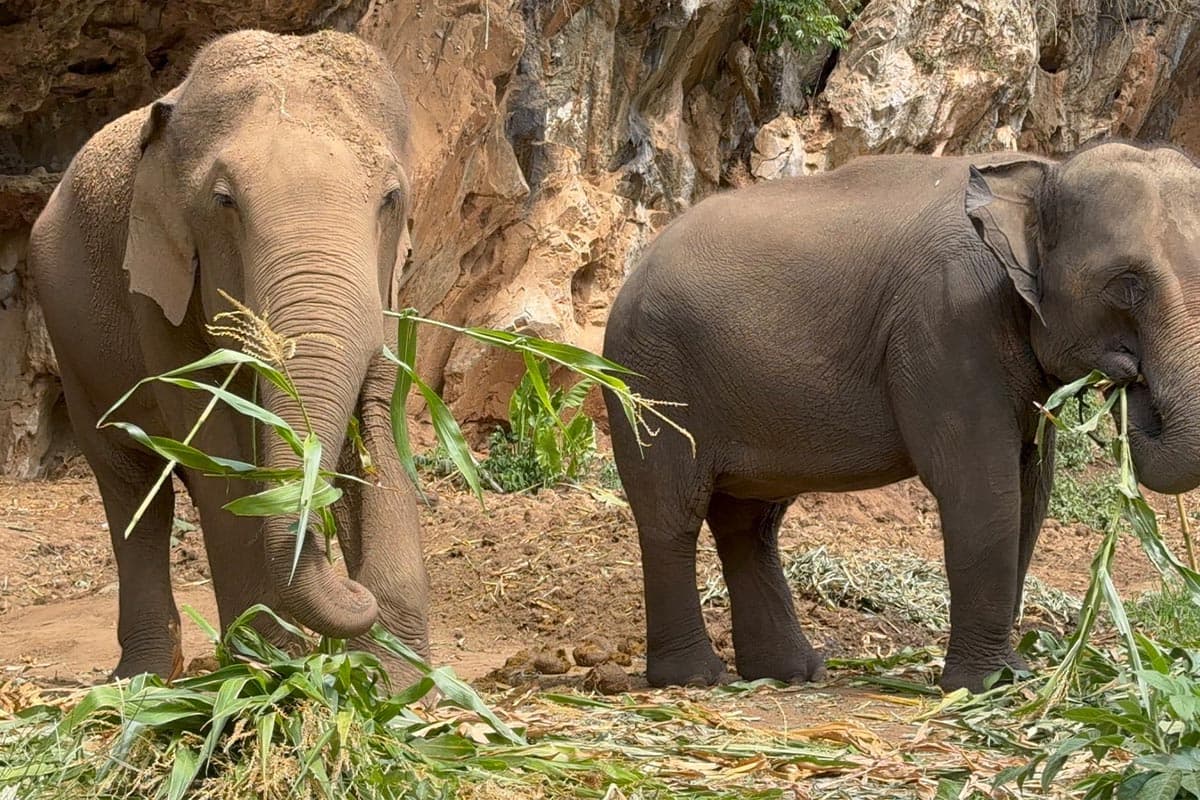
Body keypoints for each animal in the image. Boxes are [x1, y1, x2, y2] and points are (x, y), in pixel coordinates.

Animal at [28, 30, 429, 681]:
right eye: (223, 202)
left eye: (391, 198)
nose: (354, 590)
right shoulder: (157, 287)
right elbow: (218, 443)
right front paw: (272, 669)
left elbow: (378, 427)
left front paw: (393, 683)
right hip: (70, 339)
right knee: (131, 483)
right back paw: (144, 677)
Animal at [602, 143, 1200, 693]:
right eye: (1127, 285)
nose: (1130, 375)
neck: (1042, 169)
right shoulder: (946, 322)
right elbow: (982, 488)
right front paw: (987, 686)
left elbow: (1032, 490)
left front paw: (1013, 677)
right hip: (651, 378)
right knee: (672, 515)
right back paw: (693, 680)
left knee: (749, 522)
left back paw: (791, 673)